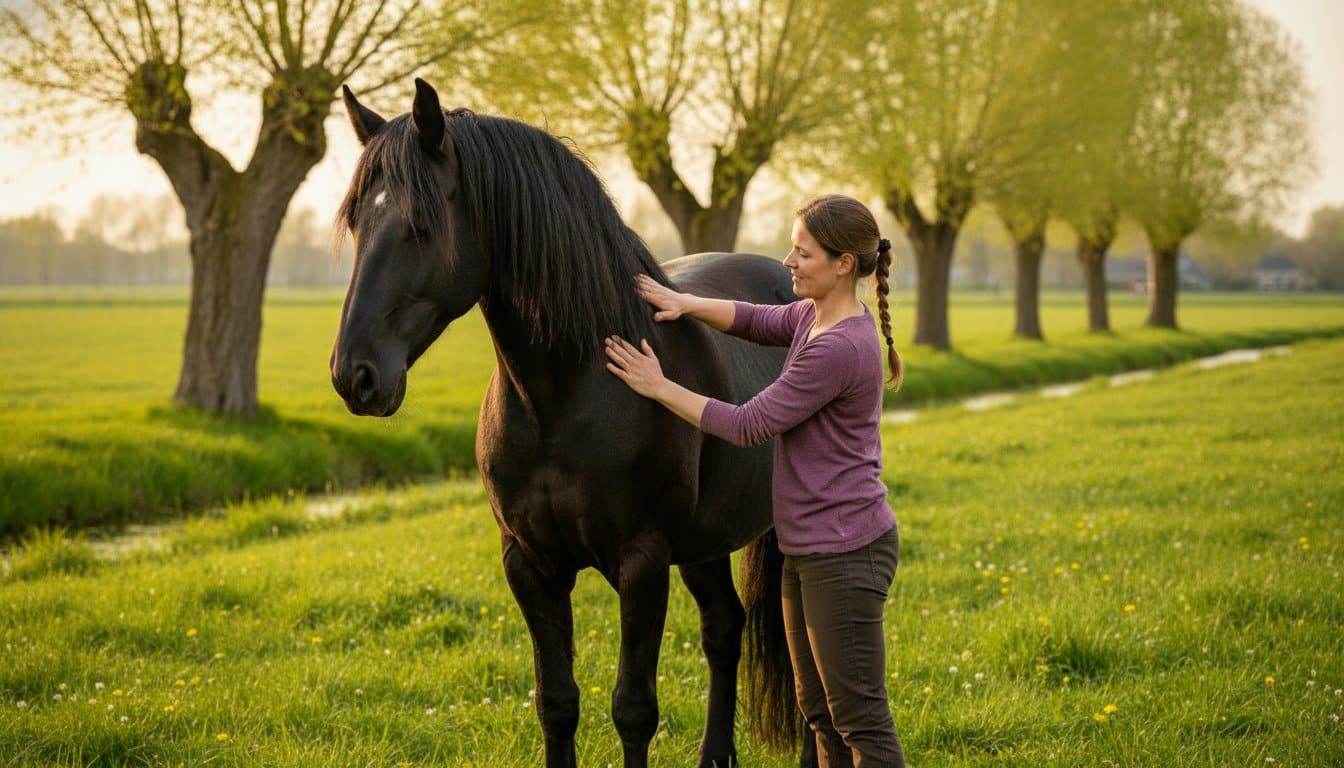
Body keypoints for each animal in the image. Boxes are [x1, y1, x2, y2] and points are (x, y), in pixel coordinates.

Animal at [331, 78, 813, 768]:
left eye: (419, 227)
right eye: (356, 222)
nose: (355, 375)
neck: (561, 398)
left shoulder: (642, 564)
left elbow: (633, 709)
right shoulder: (530, 565)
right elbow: (557, 703)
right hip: (704, 542)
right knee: (725, 629)